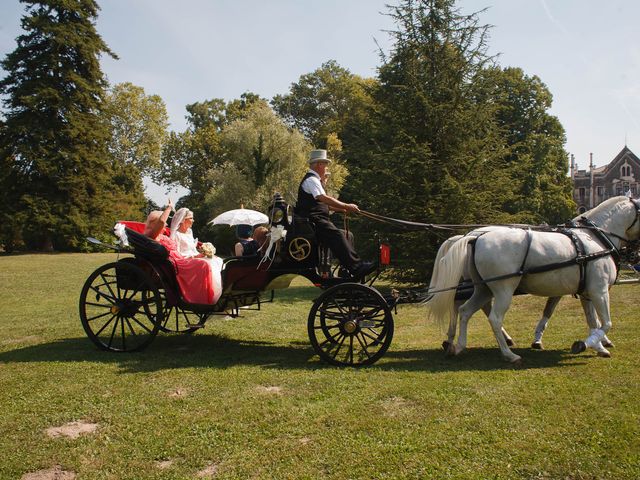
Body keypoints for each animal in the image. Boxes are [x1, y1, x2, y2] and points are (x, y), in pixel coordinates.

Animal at [428, 196, 636, 364]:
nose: (635, 255)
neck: (594, 238)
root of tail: (473, 238)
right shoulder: (599, 290)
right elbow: (605, 322)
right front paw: (586, 344)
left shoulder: (586, 291)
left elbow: (592, 321)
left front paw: (599, 345)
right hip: (503, 290)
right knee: (493, 316)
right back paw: (508, 353)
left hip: (482, 288)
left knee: (465, 310)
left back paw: (457, 345)